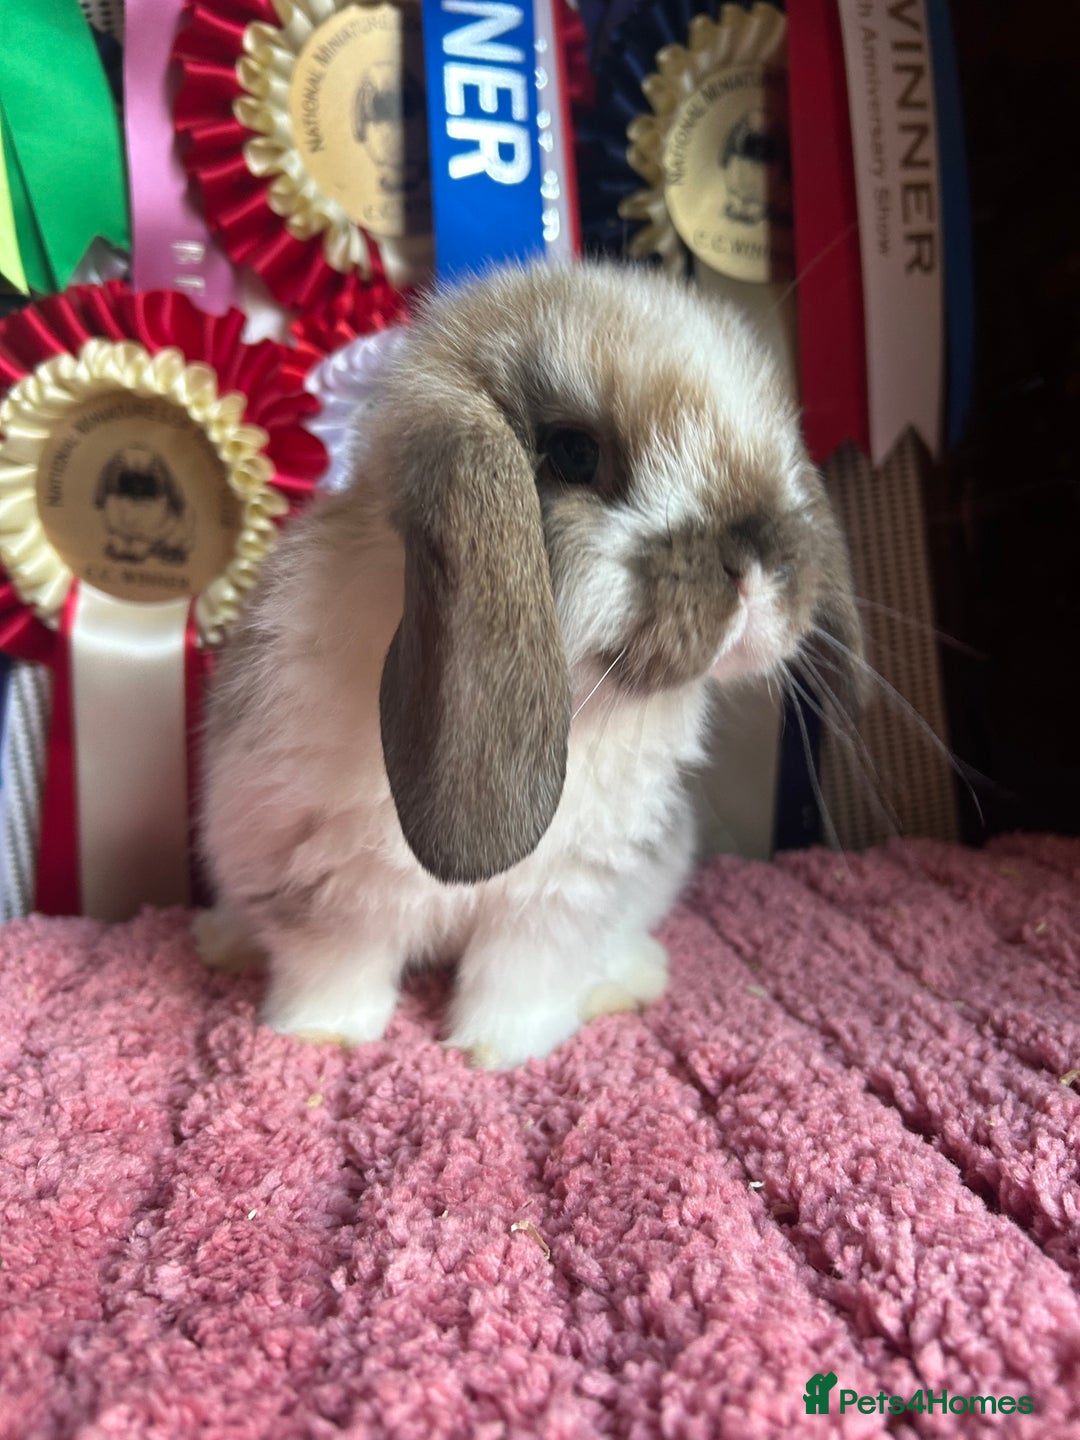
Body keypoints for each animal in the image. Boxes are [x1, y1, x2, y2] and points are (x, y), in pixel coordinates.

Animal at [196, 260, 860, 1068]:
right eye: (574, 453)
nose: (759, 564)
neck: (580, 700)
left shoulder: (562, 895)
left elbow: (521, 975)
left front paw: (499, 1051)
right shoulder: (328, 883)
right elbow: (337, 966)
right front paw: (318, 1038)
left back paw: (630, 979)